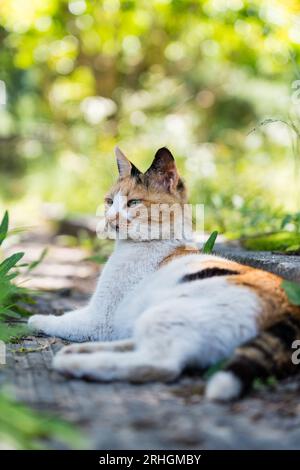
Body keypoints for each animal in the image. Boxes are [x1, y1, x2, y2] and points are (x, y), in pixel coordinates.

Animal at [28, 146, 300, 400]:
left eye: (134, 203)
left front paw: (38, 319)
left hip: (167, 314)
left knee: (158, 363)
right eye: (109, 202)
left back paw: (75, 362)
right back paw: (86, 351)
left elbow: (64, 320)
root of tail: (290, 308)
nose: (109, 220)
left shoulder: (99, 318)